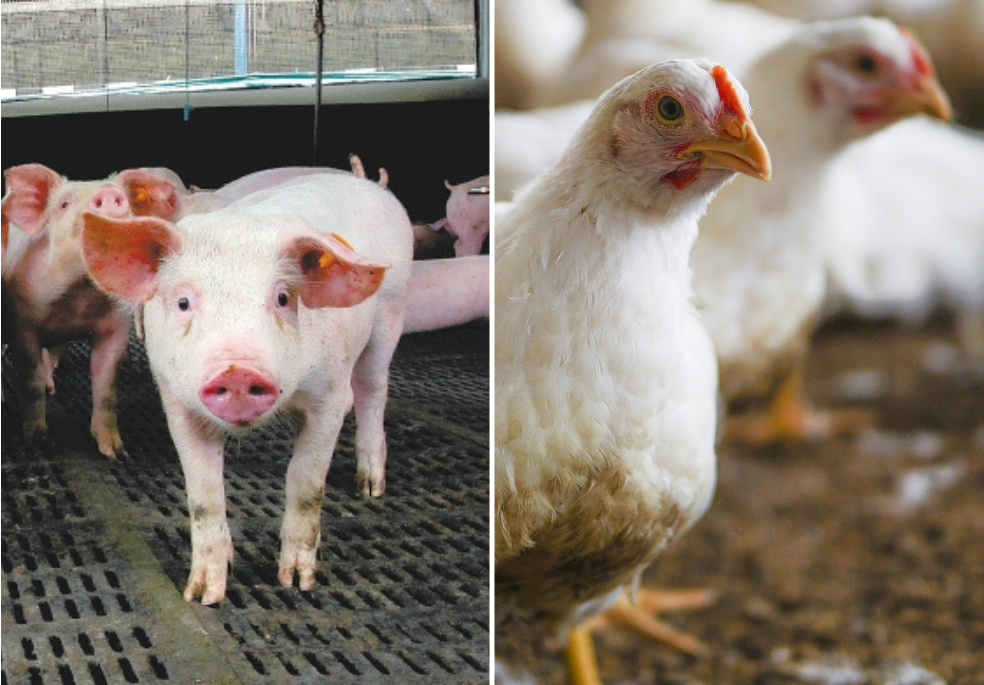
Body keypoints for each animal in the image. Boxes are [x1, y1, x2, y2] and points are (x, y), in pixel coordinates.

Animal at [1, 164, 184, 457]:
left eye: (122, 196)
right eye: (64, 204)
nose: (108, 194)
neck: (80, 295)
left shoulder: (117, 326)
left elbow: (106, 387)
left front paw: (116, 453)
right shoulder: (22, 323)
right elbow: (31, 380)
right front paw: (36, 439)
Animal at [80, 173, 412, 604]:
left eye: (283, 297)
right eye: (184, 302)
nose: (236, 370)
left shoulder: (328, 393)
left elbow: (307, 482)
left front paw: (297, 583)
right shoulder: (178, 403)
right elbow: (203, 496)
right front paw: (202, 595)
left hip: (390, 311)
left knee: (373, 390)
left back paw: (370, 488)